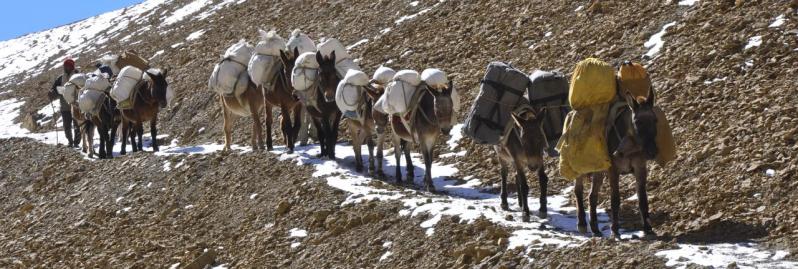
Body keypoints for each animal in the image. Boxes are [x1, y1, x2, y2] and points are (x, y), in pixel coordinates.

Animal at [580, 88, 660, 237]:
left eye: (655, 120)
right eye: (637, 121)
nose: (652, 151)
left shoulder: (640, 168)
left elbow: (642, 199)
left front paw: (647, 228)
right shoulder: (614, 170)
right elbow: (615, 199)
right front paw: (615, 230)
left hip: (599, 171)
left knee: (592, 196)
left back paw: (595, 228)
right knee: (578, 191)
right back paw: (582, 224)